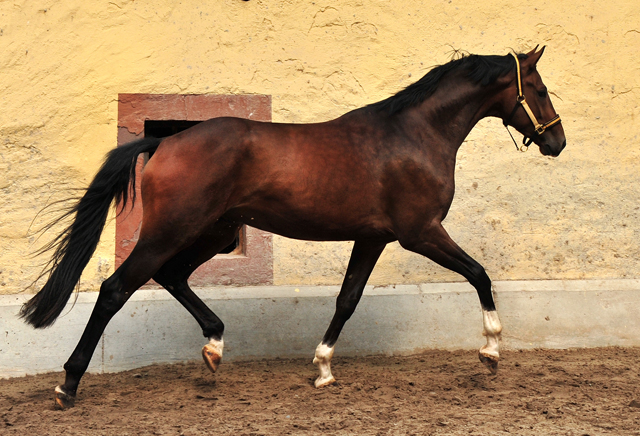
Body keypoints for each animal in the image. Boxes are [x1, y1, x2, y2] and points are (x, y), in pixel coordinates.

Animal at [20, 46, 564, 408]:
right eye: (539, 89)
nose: (556, 142)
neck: (412, 135)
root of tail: (165, 143)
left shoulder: (372, 238)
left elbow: (347, 300)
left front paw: (322, 368)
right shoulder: (421, 233)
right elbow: (480, 274)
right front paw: (490, 350)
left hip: (213, 232)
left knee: (172, 276)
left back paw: (214, 348)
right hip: (171, 231)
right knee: (116, 289)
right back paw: (68, 385)